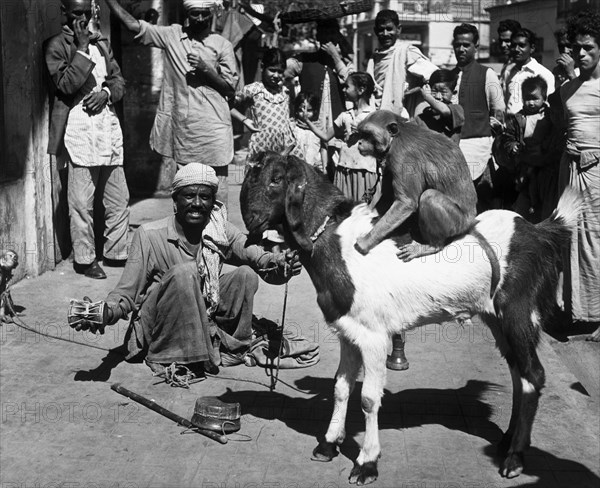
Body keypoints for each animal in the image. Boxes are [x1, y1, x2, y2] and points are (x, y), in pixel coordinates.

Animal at [239, 152, 580, 484]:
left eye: (277, 179)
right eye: (250, 175)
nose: (251, 220)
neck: (337, 241)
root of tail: (537, 231)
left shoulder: (374, 336)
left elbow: (368, 398)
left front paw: (366, 463)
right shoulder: (348, 332)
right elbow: (341, 387)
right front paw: (329, 444)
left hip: (519, 311)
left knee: (533, 375)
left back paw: (515, 458)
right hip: (496, 318)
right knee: (518, 373)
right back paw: (507, 441)